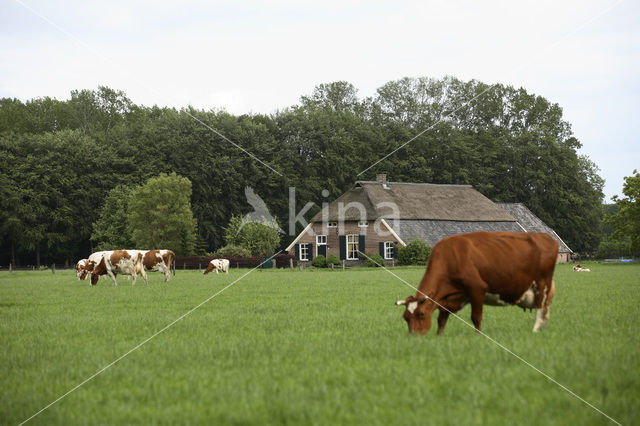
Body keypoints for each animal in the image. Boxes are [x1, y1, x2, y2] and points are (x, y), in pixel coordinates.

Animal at [398, 233, 556, 336]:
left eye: (422, 314)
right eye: (405, 317)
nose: (414, 337)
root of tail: (547, 237)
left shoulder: (477, 289)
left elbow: (476, 317)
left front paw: (478, 336)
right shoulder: (447, 299)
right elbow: (441, 320)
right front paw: (439, 336)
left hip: (542, 285)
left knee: (540, 310)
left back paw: (534, 331)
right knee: (545, 312)